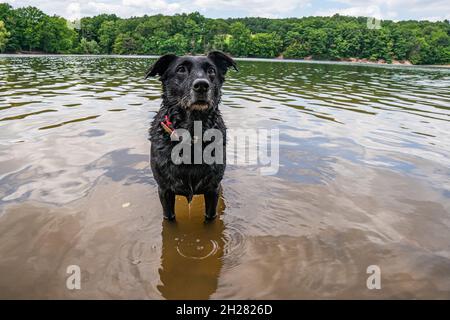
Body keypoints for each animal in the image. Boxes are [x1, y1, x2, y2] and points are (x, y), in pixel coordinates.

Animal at [146, 52, 237, 220]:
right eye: (181, 69)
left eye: (211, 70)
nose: (201, 85)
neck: (192, 132)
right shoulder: (164, 190)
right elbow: (169, 218)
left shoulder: (213, 189)